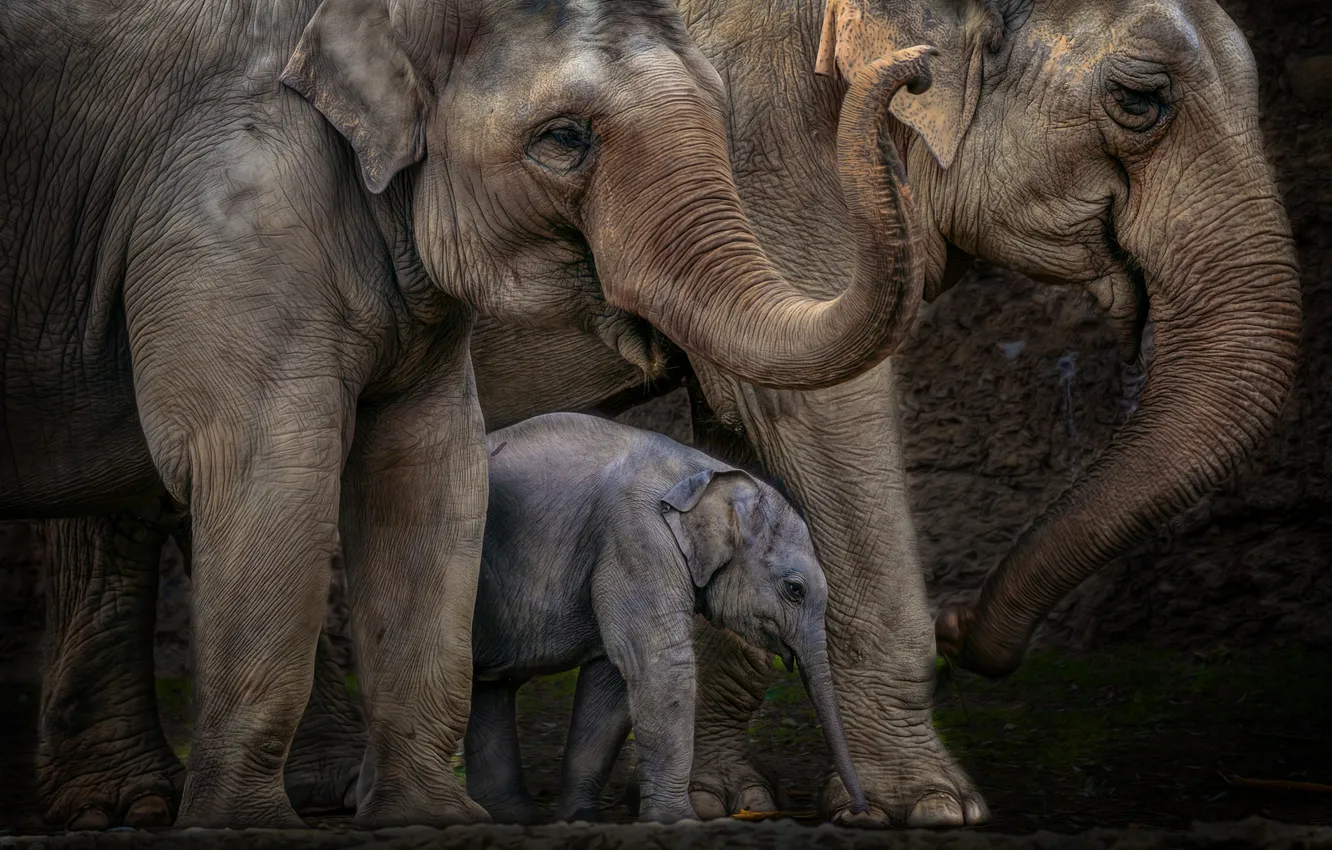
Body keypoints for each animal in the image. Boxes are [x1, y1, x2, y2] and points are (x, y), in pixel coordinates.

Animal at [358, 411, 867, 824]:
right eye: (795, 589)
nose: (858, 812)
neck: (702, 469)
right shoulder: (635, 538)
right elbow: (656, 665)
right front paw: (679, 822)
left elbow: (611, 681)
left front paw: (580, 819)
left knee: (490, 684)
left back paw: (512, 817)